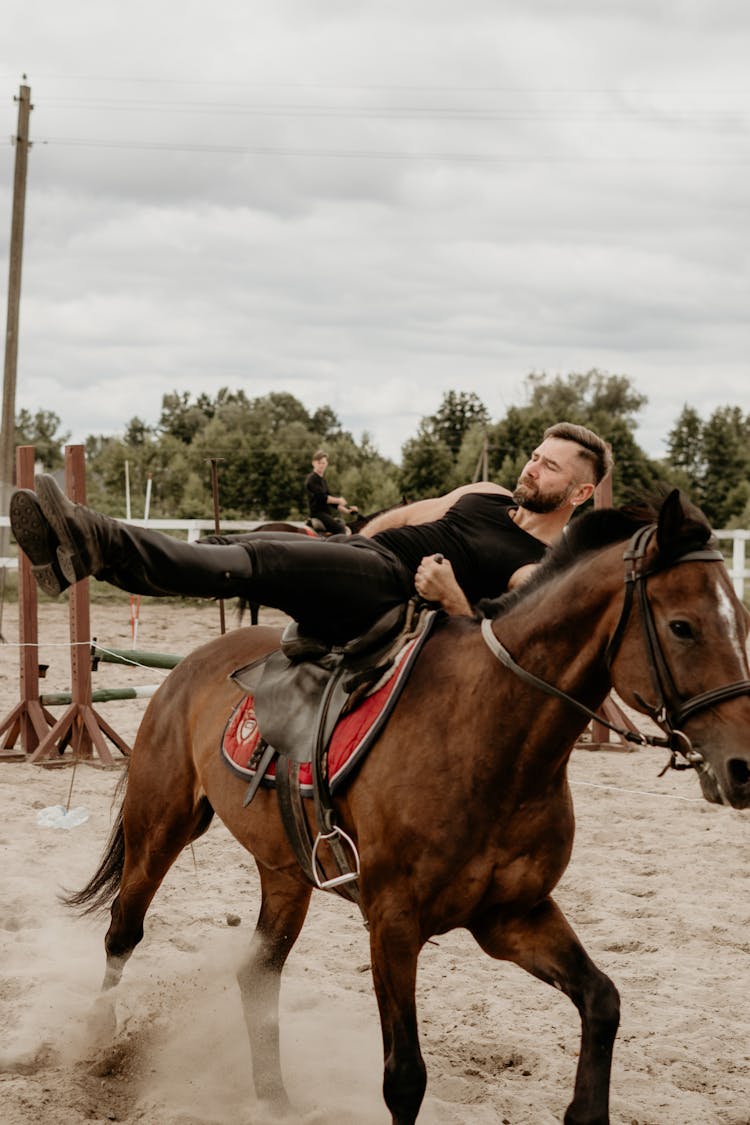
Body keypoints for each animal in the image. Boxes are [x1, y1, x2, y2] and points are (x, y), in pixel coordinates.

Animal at [67, 495, 746, 1125]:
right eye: (683, 627)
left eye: (740, 622)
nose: (741, 766)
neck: (489, 735)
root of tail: (192, 664)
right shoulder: (393, 924)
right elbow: (404, 1079)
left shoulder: (512, 917)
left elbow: (602, 1001)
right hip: (159, 825)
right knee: (123, 930)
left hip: (286, 873)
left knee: (257, 973)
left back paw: (273, 1099)